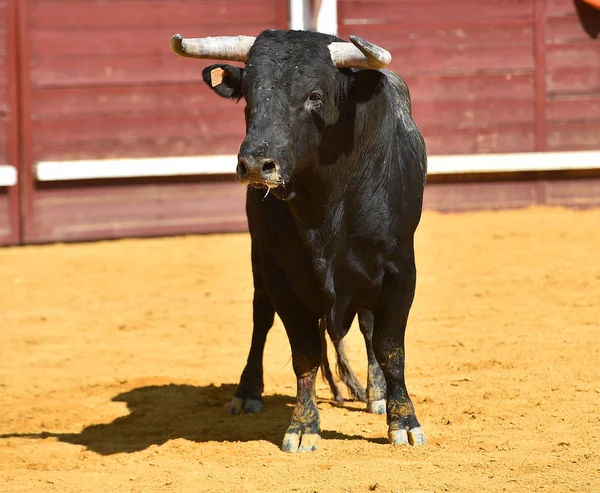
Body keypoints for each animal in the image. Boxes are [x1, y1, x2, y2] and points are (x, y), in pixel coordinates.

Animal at [171, 27, 428, 450]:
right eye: (248, 94)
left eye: (315, 96)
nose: (255, 164)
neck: (324, 205)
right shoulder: (282, 274)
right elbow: (304, 351)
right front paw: (304, 426)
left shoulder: (399, 270)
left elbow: (391, 347)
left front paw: (403, 421)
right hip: (259, 261)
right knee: (261, 318)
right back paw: (247, 392)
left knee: (368, 326)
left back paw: (375, 393)